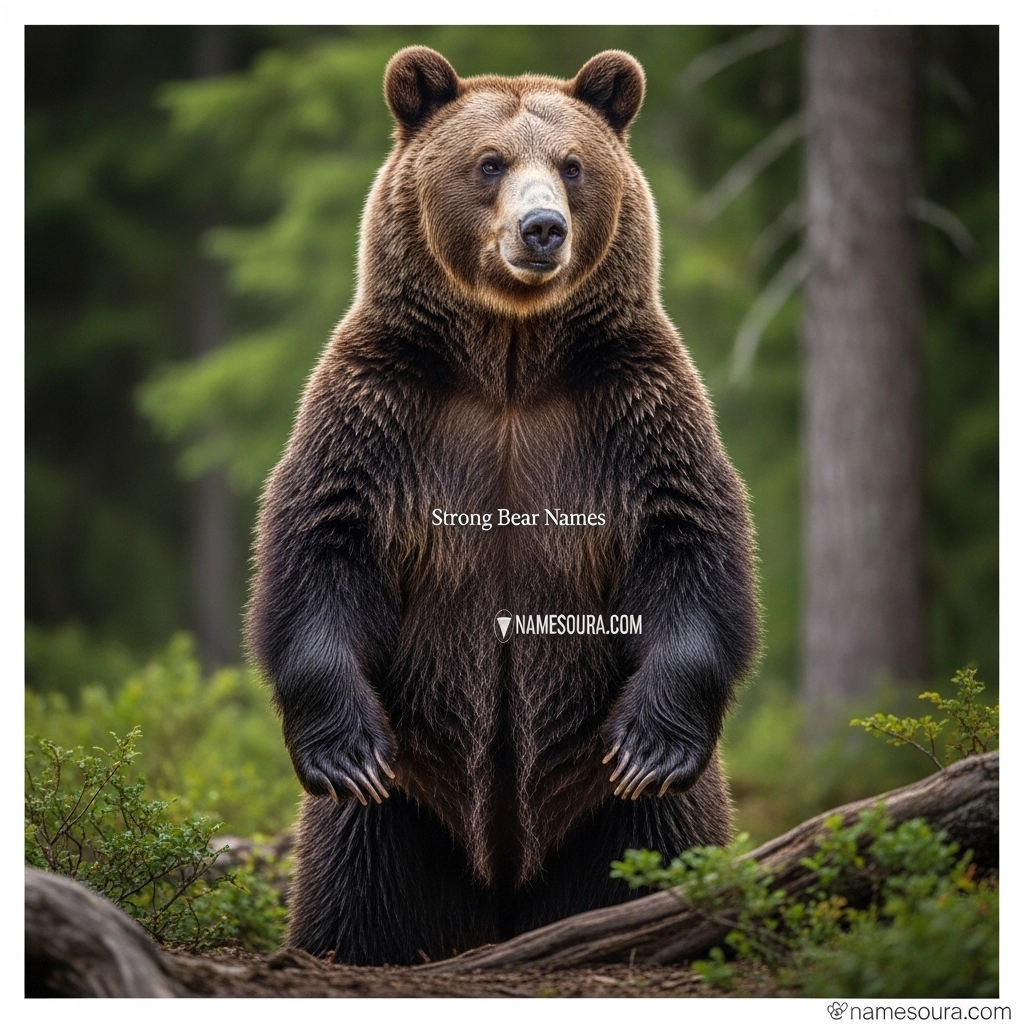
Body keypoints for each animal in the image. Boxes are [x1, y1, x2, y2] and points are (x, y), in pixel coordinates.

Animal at [247, 46, 760, 966]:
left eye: (572, 165)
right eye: (489, 163)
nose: (541, 229)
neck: (512, 357)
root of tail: (505, 883)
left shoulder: (630, 405)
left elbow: (687, 539)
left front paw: (650, 744)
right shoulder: (383, 405)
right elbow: (323, 541)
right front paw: (346, 751)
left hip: (615, 818)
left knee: (661, 847)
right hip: (405, 815)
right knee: (360, 889)